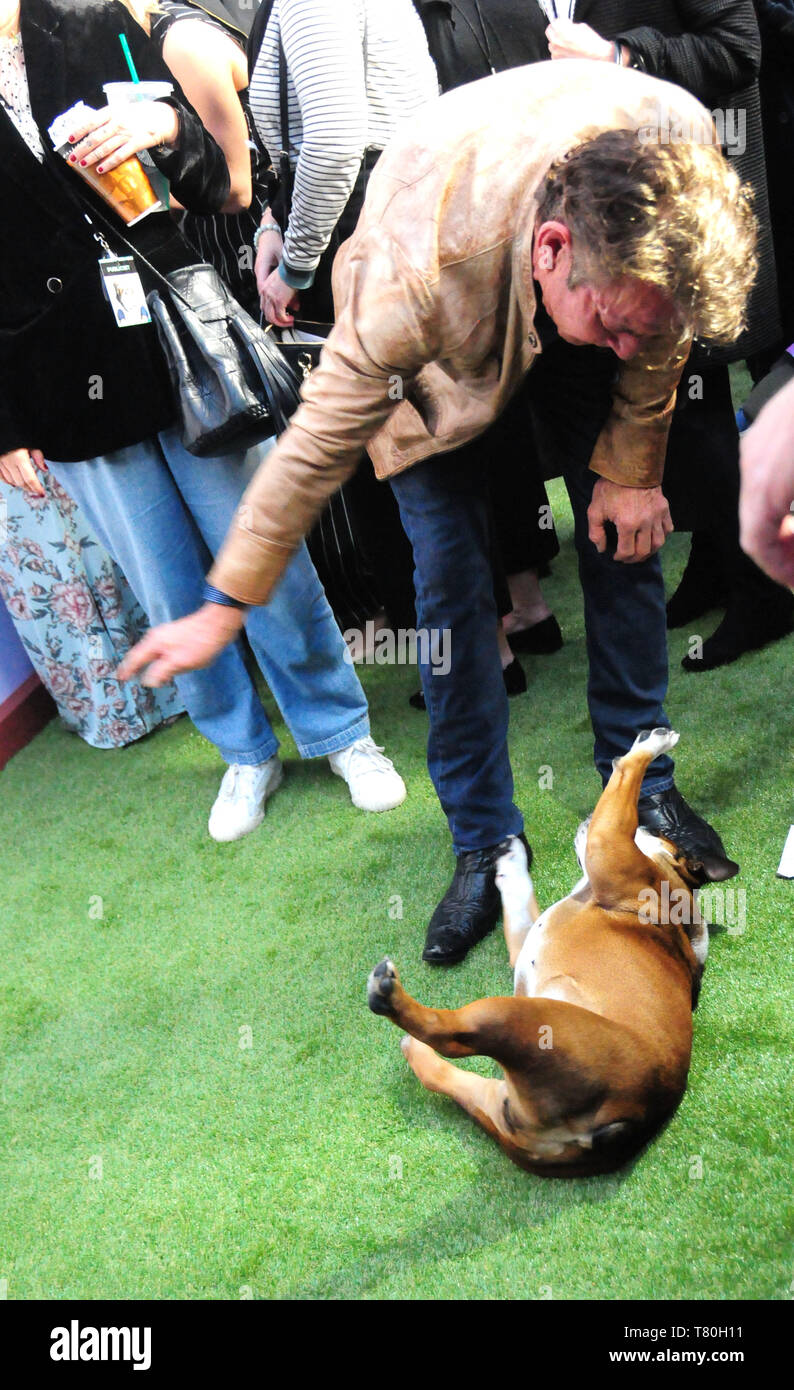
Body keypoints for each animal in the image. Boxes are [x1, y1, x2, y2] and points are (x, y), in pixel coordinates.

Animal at [367, 733, 739, 1178]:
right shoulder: (529, 931)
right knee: (445, 1072)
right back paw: (414, 1048)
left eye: (646, 825)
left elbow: (625, 777)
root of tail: (618, 1129)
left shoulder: (608, 843)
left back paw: (390, 997)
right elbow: (518, 897)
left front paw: (650, 744)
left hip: (519, 1020)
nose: (646, 822)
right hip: (501, 1098)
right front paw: (509, 858)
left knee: (451, 1035)